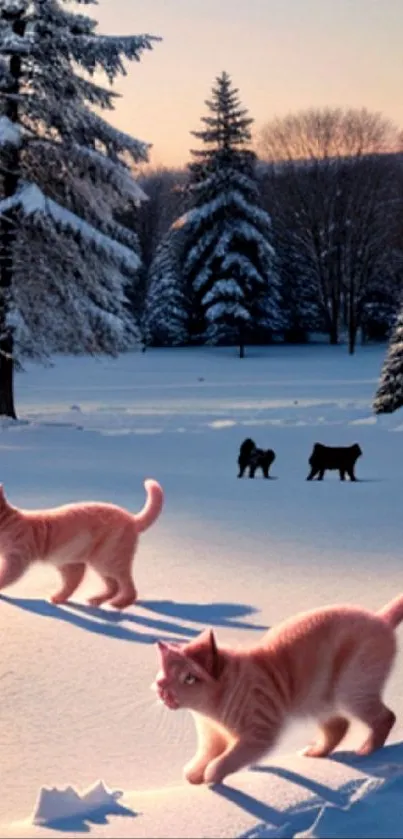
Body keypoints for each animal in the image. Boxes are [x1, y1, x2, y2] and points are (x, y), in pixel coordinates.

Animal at [0, 480, 164, 612]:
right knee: (99, 583)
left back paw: (117, 604)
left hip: (108, 558)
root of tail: (132, 518)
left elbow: (5, 575)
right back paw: (83, 599)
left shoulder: (17, 557)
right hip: (78, 561)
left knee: (127, 587)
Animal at [154, 596, 403, 788]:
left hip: (351, 692)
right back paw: (314, 753)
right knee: (339, 725)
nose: (163, 690)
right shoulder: (212, 738)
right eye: (164, 676)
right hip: (318, 701)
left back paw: (365, 753)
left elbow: (222, 763)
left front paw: (211, 779)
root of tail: (379, 618)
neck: (210, 713)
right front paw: (195, 776)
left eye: (189, 678)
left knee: (385, 718)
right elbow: (199, 763)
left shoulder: (258, 735)